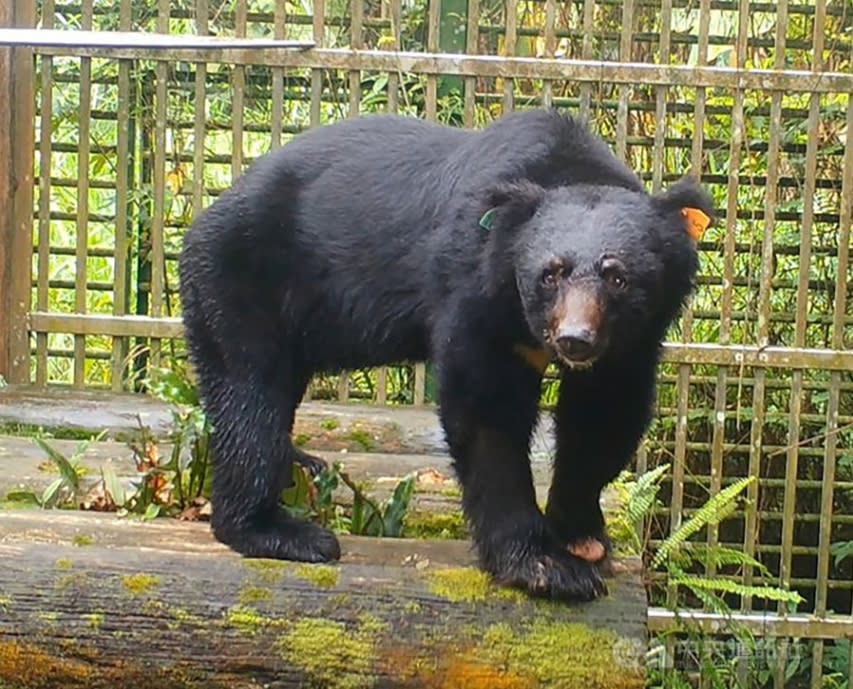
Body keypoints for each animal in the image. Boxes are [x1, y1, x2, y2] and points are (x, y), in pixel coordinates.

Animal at [180, 107, 712, 600]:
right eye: (550, 273)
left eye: (617, 276)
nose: (575, 339)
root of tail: (207, 213)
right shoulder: (474, 288)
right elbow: (486, 411)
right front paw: (547, 567)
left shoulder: (632, 338)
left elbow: (604, 413)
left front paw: (583, 538)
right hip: (241, 281)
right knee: (250, 398)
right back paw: (281, 531)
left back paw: (303, 464)